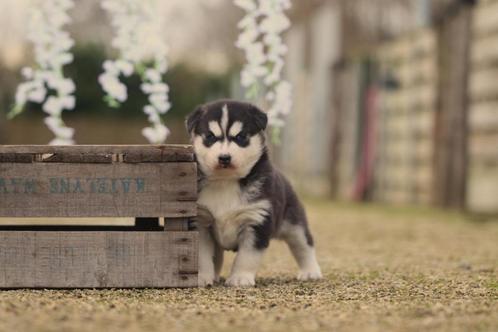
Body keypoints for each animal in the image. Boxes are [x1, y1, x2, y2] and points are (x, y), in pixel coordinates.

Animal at [187, 100, 322, 286]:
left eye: (240, 137)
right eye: (210, 136)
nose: (224, 158)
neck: (225, 181)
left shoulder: (257, 220)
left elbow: (247, 257)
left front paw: (240, 278)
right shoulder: (201, 221)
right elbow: (202, 257)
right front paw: (201, 277)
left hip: (294, 225)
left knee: (304, 245)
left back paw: (310, 272)